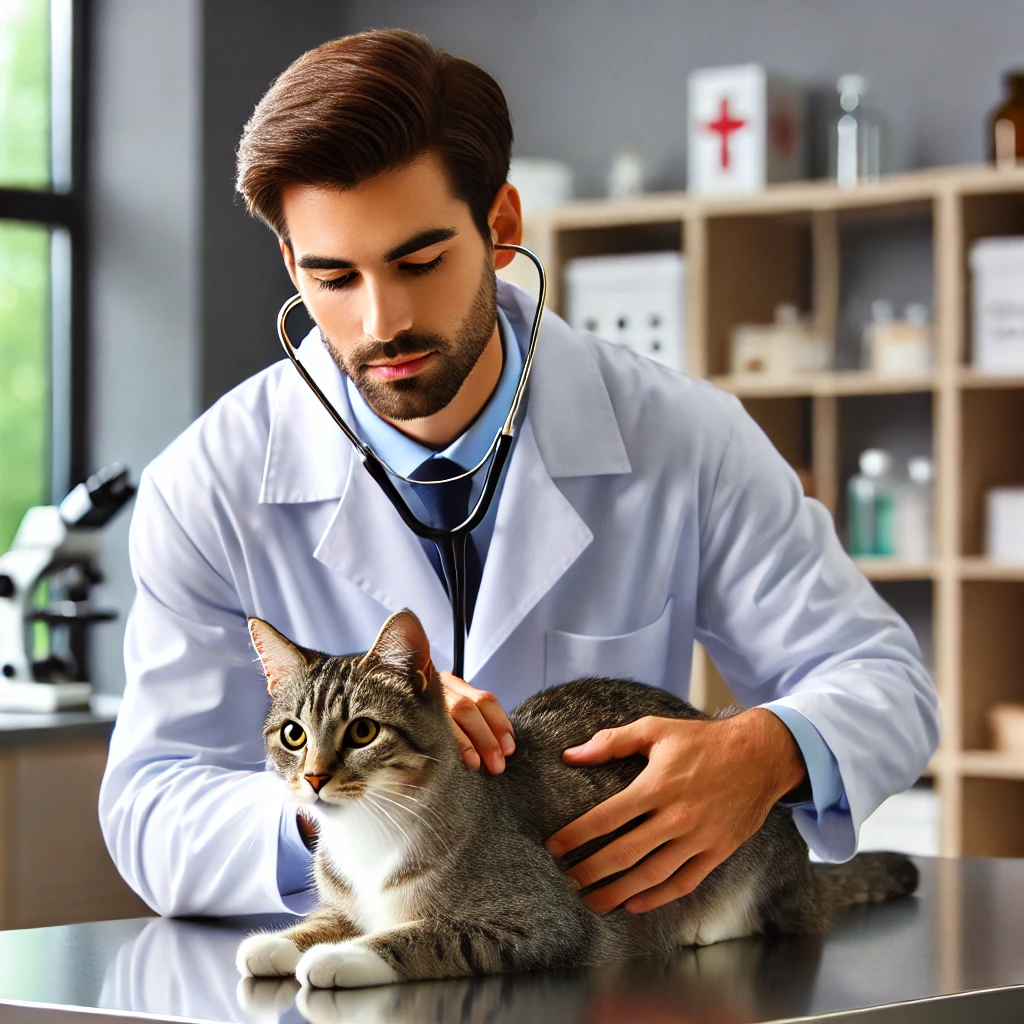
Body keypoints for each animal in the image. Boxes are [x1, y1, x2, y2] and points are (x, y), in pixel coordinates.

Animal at [235, 610, 917, 987]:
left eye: (362, 732)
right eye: (293, 734)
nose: (314, 778)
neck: (370, 830)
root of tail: (808, 877)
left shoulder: (546, 922)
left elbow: (424, 935)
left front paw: (343, 958)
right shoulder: (347, 895)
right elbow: (330, 918)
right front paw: (282, 941)